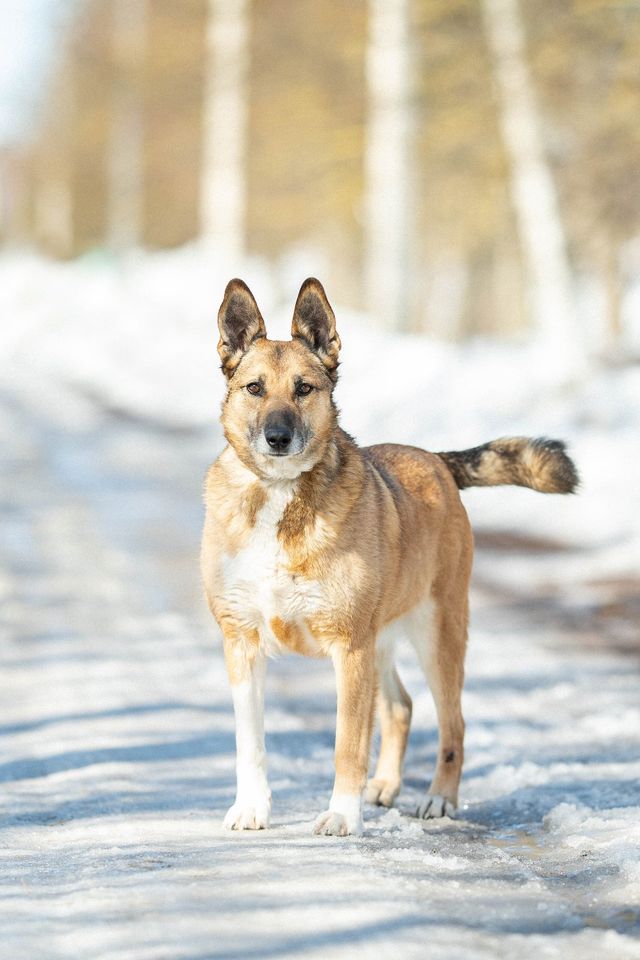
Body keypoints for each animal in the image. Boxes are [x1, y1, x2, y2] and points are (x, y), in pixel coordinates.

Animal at [201, 276, 580, 832]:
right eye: (254, 389)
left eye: (304, 389)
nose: (277, 438)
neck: (280, 497)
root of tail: (437, 461)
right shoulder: (242, 644)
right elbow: (250, 744)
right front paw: (251, 808)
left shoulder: (349, 648)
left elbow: (347, 744)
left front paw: (341, 816)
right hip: (382, 642)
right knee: (400, 708)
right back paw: (384, 786)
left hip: (436, 637)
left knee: (452, 723)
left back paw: (439, 799)